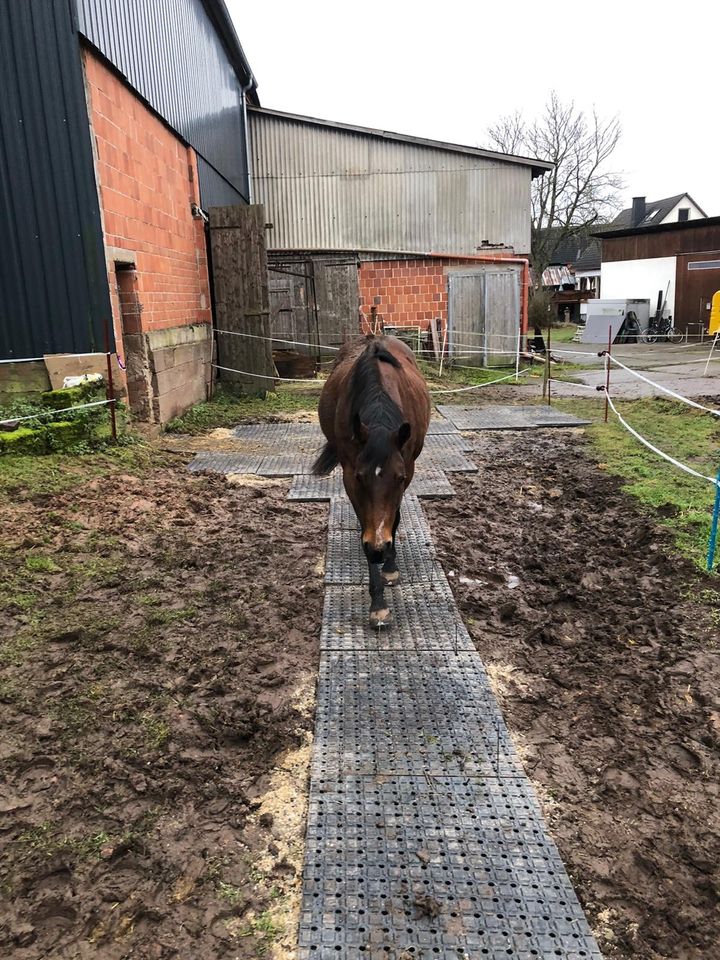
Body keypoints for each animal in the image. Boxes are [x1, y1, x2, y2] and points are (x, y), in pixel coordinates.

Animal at [312, 334, 430, 628]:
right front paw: (378, 604)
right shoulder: (349, 475)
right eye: (360, 477)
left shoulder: (407, 469)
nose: (379, 548)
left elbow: (394, 518)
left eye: (399, 478)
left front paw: (390, 566)